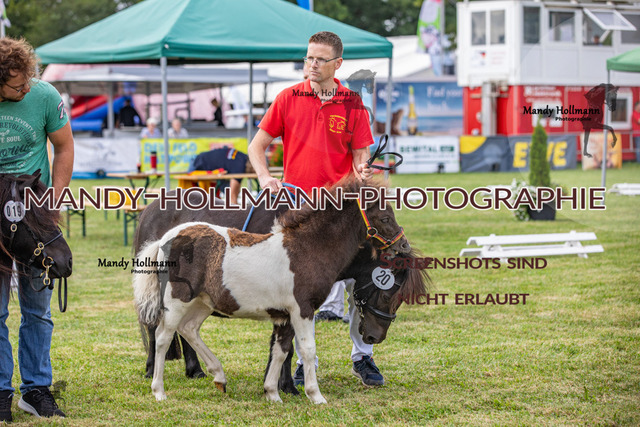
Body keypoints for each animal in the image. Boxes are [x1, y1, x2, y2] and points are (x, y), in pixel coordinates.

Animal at [133, 178, 410, 404]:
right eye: (384, 217)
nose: (403, 245)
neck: (308, 248)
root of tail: (165, 239)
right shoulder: (302, 310)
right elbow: (307, 349)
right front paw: (315, 395)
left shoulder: (283, 315)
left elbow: (280, 350)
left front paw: (273, 393)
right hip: (177, 300)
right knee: (162, 336)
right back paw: (159, 390)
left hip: (202, 303)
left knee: (189, 329)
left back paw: (218, 376)